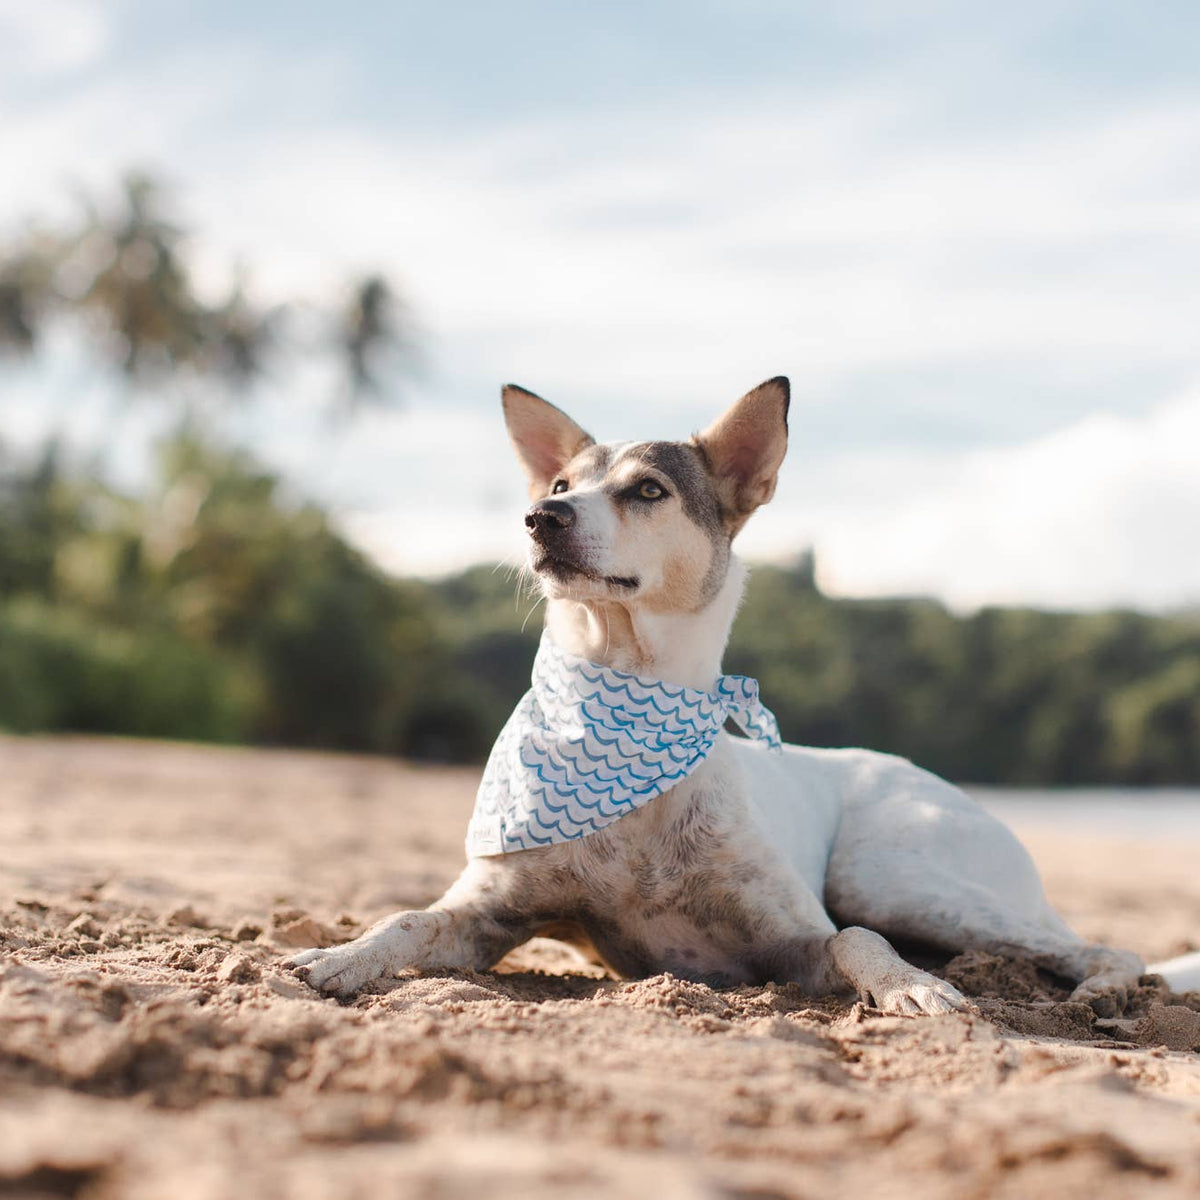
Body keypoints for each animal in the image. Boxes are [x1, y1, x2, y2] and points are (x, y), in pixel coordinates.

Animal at [292, 376, 1200, 1012]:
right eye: (557, 486)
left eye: (648, 490)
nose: (540, 519)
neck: (624, 700)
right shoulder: (490, 914)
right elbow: (411, 918)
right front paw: (341, 957)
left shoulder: (797, 939)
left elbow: (855, 942)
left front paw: (909, 987)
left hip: (893, 870)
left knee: (1089, 944)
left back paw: (1101, 990)